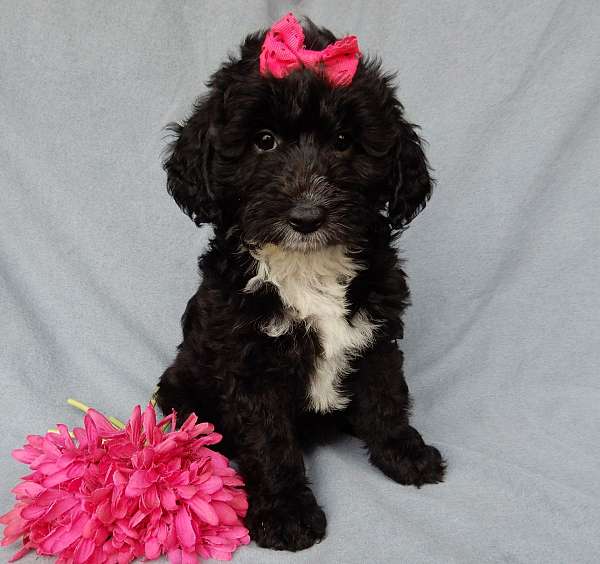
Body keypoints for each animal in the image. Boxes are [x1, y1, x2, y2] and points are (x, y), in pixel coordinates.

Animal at [156, 15, 446, 552]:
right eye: (264, 140)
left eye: (344, 141)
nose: (307, 216)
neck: (306, 266)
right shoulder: (250, 361)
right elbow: (270, 441)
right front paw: (286, 513)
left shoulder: (378, 334)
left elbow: (386, 396)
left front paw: (403, 453)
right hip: (182, 388)